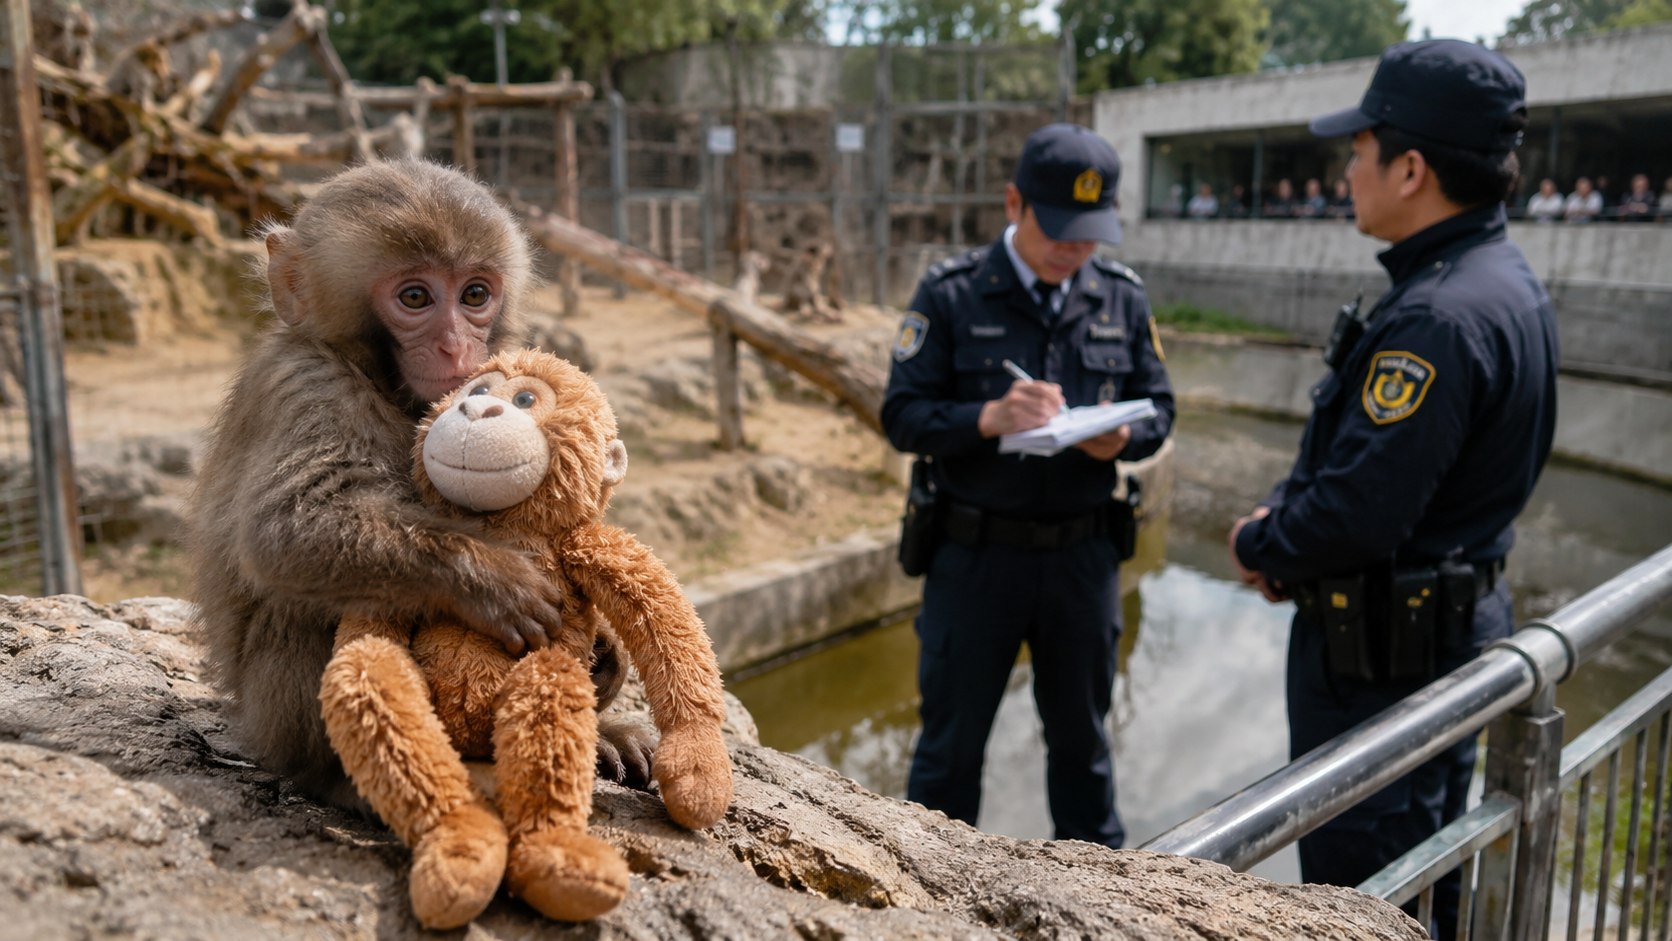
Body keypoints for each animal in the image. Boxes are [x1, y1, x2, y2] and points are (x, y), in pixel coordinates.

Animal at [186, 159, 651, 809]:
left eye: (475, 294)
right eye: (414, 297)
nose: (455, 345)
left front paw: (607, 642)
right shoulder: (303, 382)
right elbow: (289, 528)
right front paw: (493, 580)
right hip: (274, 722)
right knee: (306, 602)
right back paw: (350, 779)